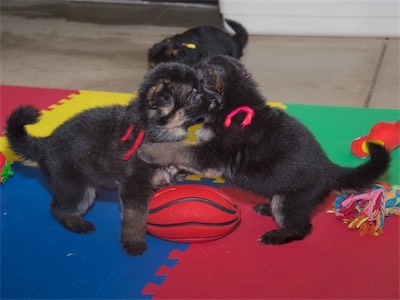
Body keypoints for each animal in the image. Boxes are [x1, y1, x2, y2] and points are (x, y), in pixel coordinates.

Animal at [5, 62, 212, 255]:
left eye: (203, 85)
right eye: (194, 96)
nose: (216, 100)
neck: (151, 127)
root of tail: (45, 144)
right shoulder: (134, 186)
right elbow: (135, 217)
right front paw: (134, 242)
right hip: (77, 187)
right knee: (59, 208)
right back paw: (77, 224)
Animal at [138, 55, 390, 246]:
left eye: (194, 92)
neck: (235, 105)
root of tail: (329, 170)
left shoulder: (211, 155)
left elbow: (178, 149)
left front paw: (148, 150)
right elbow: (182, 154)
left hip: (290, 201)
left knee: (302, 228)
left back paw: (276, 235)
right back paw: (266, 208)